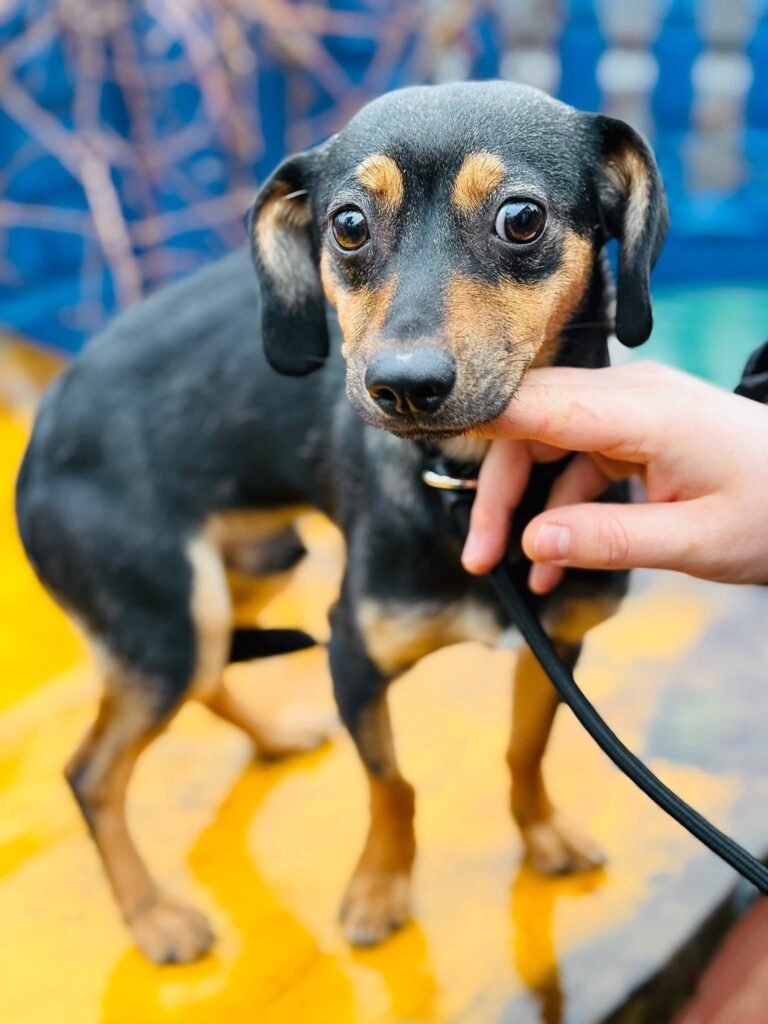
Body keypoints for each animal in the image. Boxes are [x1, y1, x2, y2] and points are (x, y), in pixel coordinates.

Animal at [16, 81, 667, 962]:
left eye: (522, 218)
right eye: (349, 225)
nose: (403, 387)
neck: (463, 486)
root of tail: (47, 420)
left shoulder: (557, 643)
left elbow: (524, 750)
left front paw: (541, 837)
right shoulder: (353, 653)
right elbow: (392, 784)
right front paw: (378, 892)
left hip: (251, 570)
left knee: (210, 676)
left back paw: (271, 741)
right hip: (166, 625)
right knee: (92, 774)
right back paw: (154, 917)